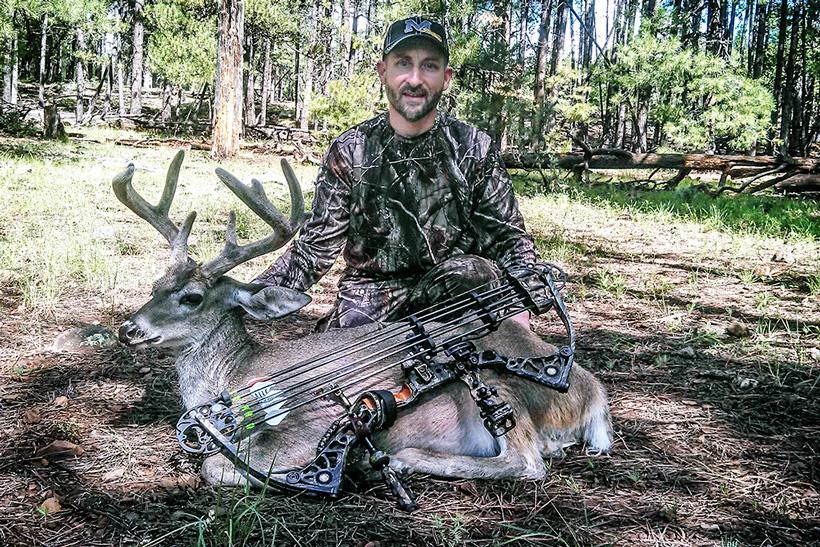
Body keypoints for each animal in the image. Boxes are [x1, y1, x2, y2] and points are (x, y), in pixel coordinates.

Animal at [113, 150, 613, 496]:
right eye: (156, 284)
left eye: (192, 298)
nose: (128, 329)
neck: (231, 382)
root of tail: (593, 392)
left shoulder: (310, 426)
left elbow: (213, 467)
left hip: (496, 383)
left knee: (528, 460)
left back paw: (398, 460)